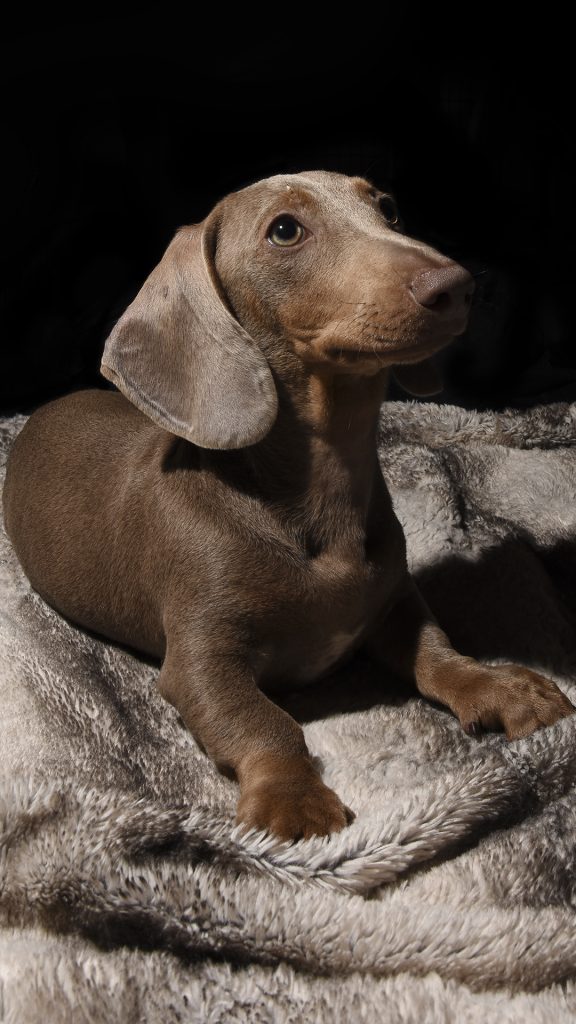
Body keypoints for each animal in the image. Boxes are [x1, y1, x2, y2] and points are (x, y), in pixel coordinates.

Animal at [3, 169, 569, 839]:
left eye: (388, 208)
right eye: (284, 229)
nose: (457, 286)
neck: (318, 494)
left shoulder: (393, 601)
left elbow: (437, 653)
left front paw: (498, 687)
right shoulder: (201, 662)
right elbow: (264, 722)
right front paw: (292, 797)